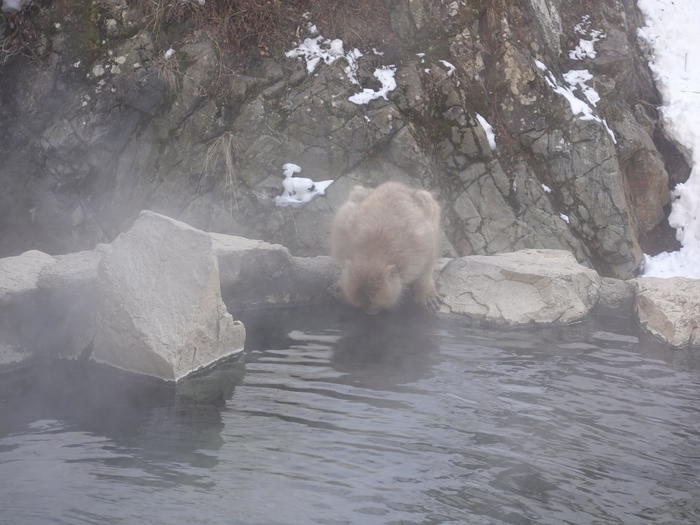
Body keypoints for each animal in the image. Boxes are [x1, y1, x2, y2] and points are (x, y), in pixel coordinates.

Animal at [330, 182, 440, 314]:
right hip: (354, 202)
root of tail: (395, 184)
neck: (373, 252)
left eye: (376, 306)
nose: (368, 313)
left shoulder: (422, 246)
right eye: (361, 306)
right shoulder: (343, 239)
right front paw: (340, 282)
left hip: (427, 206)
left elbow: (427, 266)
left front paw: (426, 292)